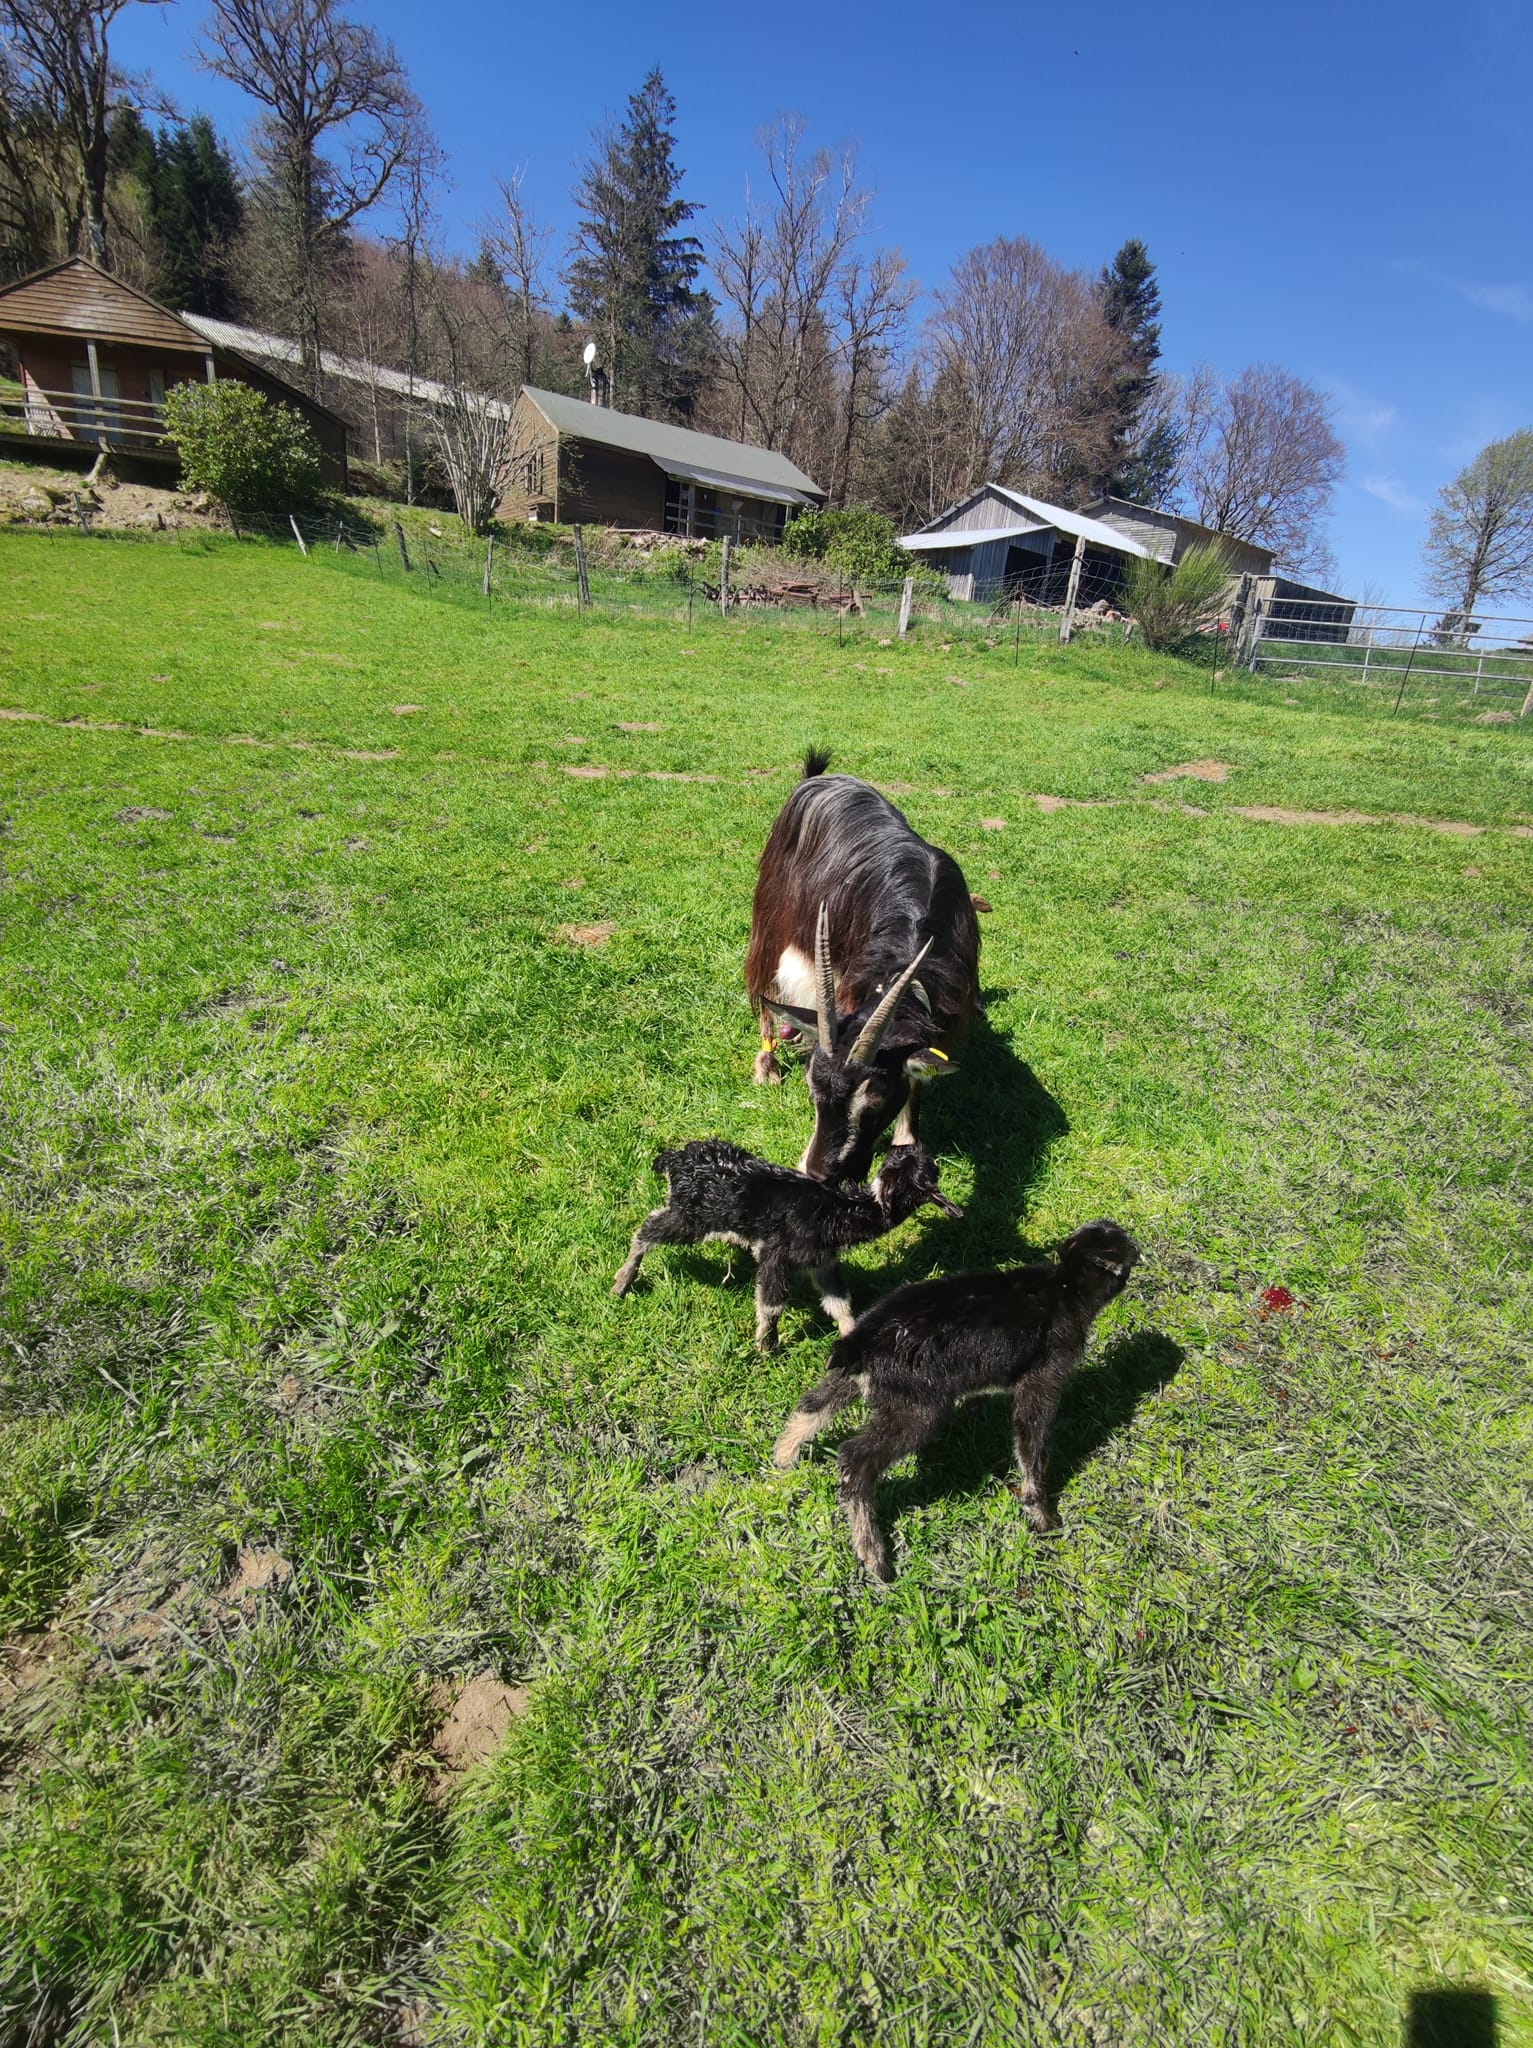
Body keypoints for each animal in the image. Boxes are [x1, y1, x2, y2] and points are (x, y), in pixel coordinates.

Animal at [745, 753, 982, 1187]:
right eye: (812, 1090)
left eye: (875, 1099)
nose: (818, 1174)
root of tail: (818, 779)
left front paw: (906, 1142)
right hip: (773, 912)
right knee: (763, 982)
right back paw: (767, 1063)